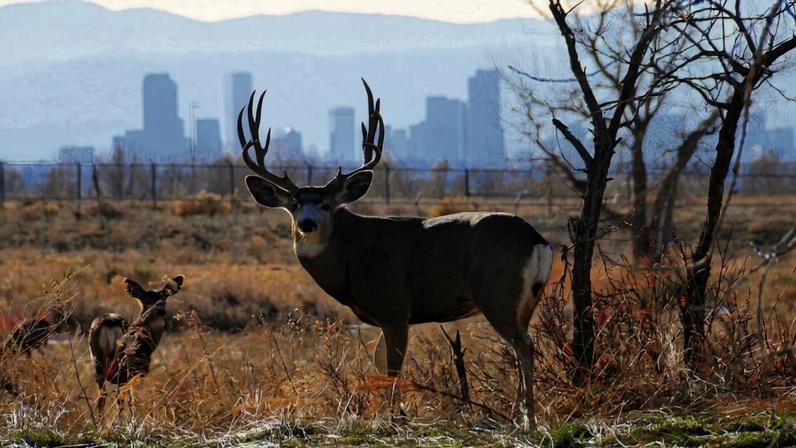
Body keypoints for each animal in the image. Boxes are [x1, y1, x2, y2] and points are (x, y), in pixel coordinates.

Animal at [89, 275, 184, 412]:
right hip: (125, 365)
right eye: (148, 301)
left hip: (97, 360)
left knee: (103, 396)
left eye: (164, 299)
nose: (161, 311)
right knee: (120, 399)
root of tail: (109, 322)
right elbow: (132, 401)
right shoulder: (139, 370)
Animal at [238, 80, 552, 428]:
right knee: (522, 346)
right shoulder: (383, 317)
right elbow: (379, 363)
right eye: (294, 204)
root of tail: (537, 240)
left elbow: (392, 367)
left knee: (524, 346)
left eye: (327, 204)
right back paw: (518, 416)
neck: (353, 255)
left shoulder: (395, 307)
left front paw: (392, 416)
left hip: (497, 293)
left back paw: (529, 421)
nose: (307, 223)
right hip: (526, 301)